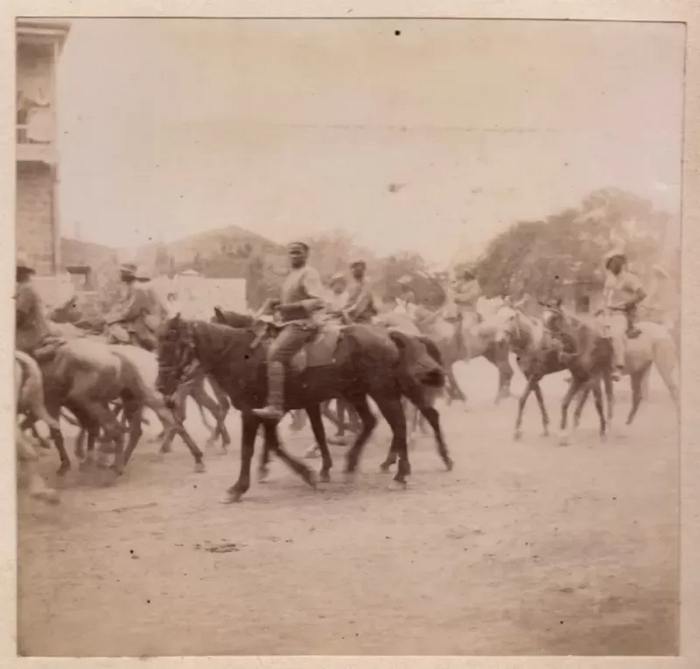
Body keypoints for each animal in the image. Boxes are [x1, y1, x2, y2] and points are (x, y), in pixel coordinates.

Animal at [156, 314, 451, 502]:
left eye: (174, 343)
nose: (160, 385)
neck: (240, 355)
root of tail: (389, 332)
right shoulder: (276, 411)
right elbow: (276, 443)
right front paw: (308, 472)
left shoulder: (253, 412)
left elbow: (250, 449)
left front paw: (238, 488)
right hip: (361, 391)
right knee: (378, 422)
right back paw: (356, 464)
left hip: (384, 391)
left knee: (402, 423)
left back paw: (400, 473)